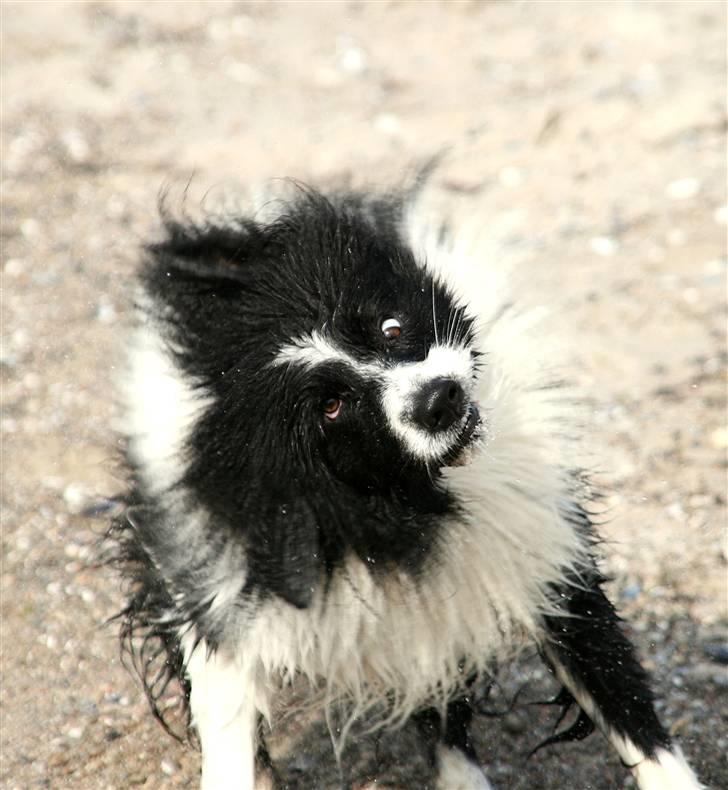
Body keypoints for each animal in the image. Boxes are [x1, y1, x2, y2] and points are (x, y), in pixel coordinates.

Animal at [115, 183, 704, 788]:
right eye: (331, 407)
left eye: (391, 328)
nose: (439, 399)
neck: (419, 496)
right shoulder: (226, 593)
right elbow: (228, 719)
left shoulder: (541, 557)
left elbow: (619, 697)